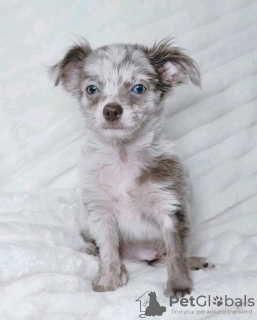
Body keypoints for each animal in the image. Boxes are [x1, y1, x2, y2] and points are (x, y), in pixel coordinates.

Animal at [49, 38, 212, 298]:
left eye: (138, 88)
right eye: (91, 89)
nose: (111, 110)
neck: (122, 156)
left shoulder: (170, 207)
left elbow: (176, 253)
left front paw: (179, 285)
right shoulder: (101, 214)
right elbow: (108, 251)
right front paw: (108, 281)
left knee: (165, 258)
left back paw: (193, 262)